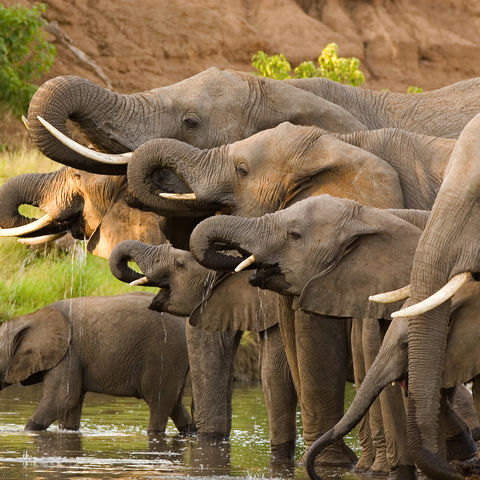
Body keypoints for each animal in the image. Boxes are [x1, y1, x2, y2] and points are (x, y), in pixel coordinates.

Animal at [0, 290, 195, 434]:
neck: (31, 316)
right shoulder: (73, 357)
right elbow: (71, 403)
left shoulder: (69, 354)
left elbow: (62, 398)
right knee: (176, 405)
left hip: (165, 354)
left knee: (159, 404)